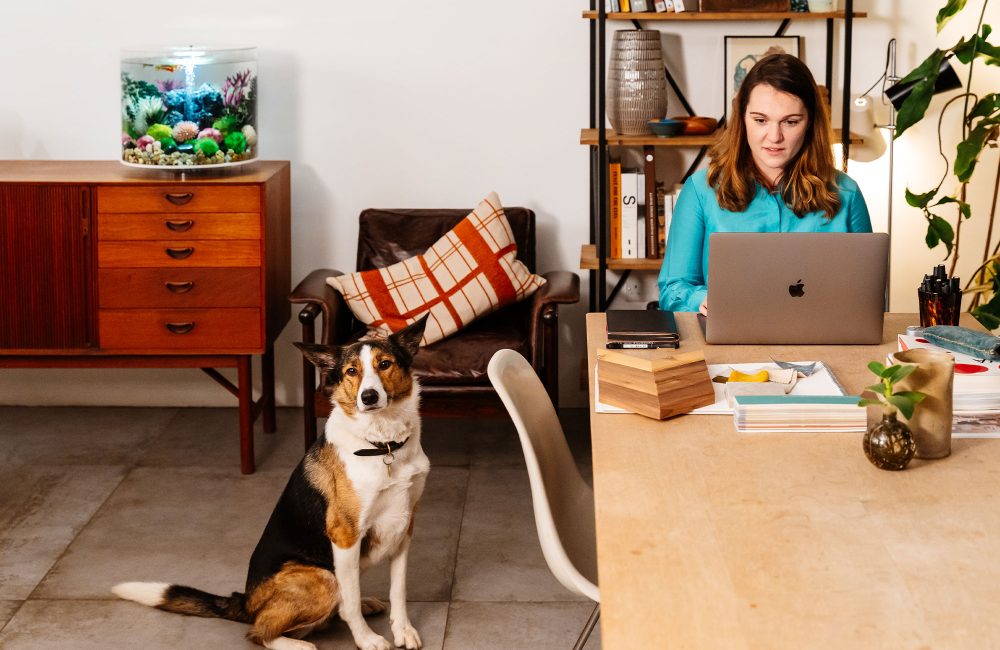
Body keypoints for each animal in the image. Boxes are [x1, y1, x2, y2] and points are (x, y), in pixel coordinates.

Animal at [112, 316, 430, 648]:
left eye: (385, 364)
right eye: (351, 371)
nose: (368, 397)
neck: (384, 444)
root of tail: (244, 601)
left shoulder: (404, 526)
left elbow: (398, 590)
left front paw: (403, 630)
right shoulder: (344, 534)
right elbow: (350, 601)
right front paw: (367, 639)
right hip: (323, 577)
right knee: (261, 630)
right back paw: (297, 643)